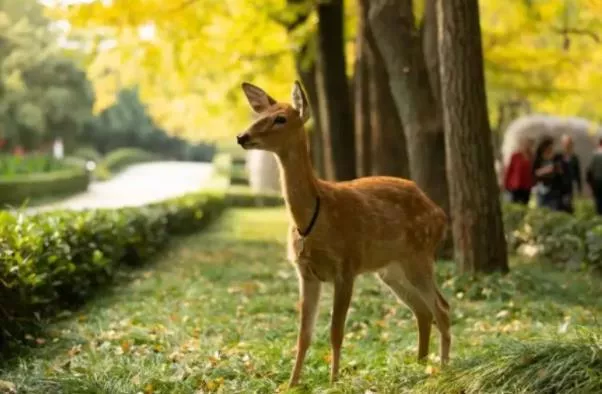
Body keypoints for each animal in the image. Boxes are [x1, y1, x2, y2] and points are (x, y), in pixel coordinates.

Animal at [237, 80, 448, 388]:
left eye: (281, 118)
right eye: (259, 115)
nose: (242, 136)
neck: (314, 216)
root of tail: (441, 214)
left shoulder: (346, 265)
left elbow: (336, 331)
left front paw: (334, 380)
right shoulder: (306, 273)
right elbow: (303, 335)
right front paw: (291, 384)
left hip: (419, 256)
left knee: (441, 308)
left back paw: (444, 369)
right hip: (390, 270)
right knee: (423, 310)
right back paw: (420, 366)